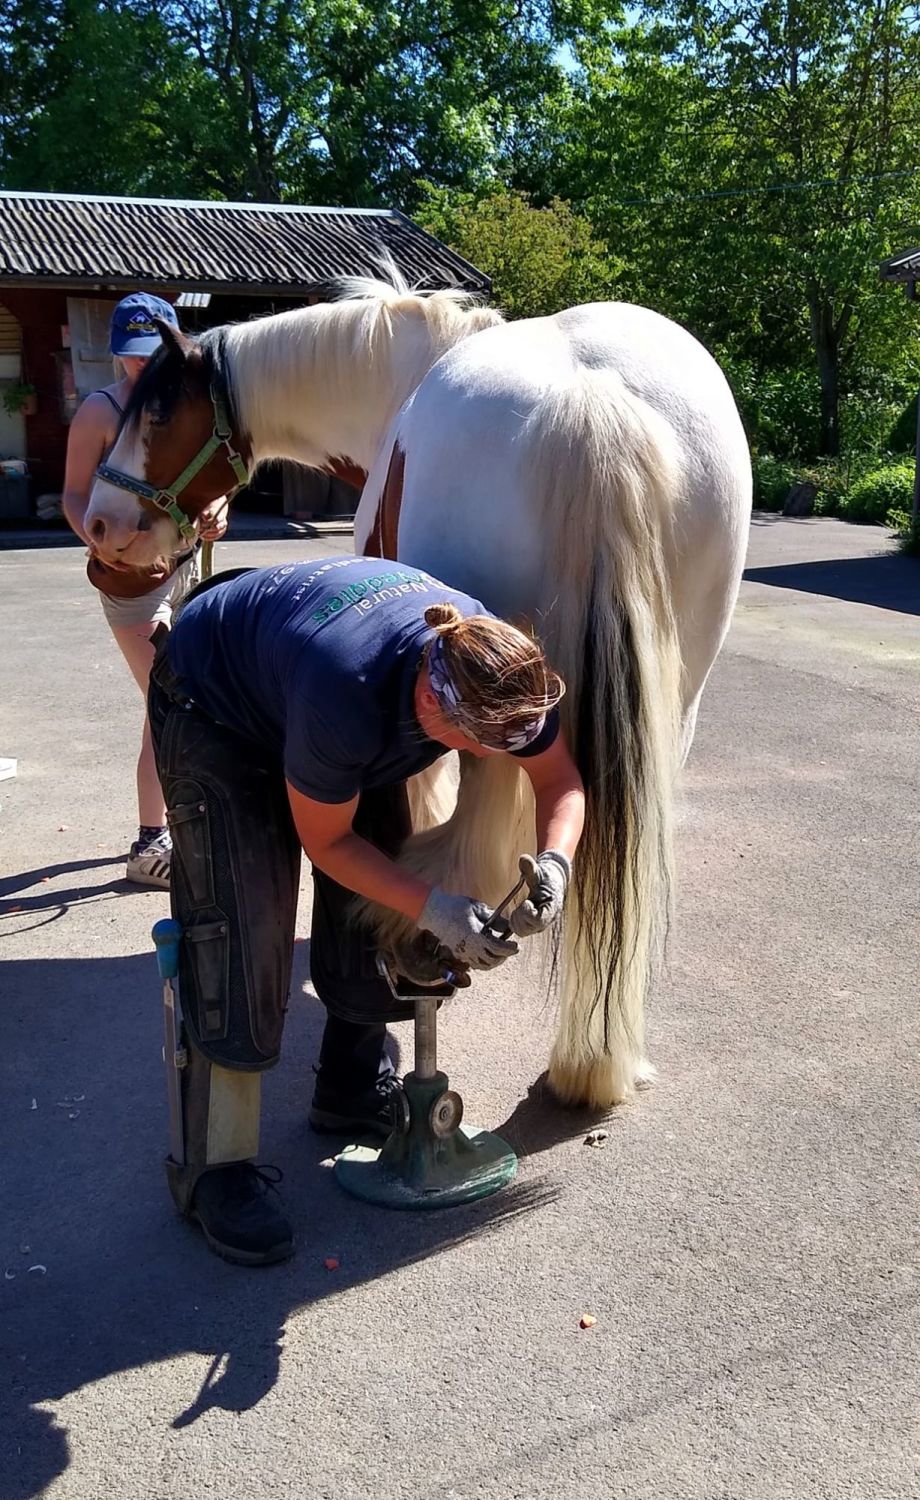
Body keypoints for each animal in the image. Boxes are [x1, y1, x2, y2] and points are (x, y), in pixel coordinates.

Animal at [82, 276, 750, 1110]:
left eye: (162, 410)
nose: (101, 526)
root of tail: (589, 398)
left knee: (481, 815)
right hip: (674, 699)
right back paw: (598, 1058)